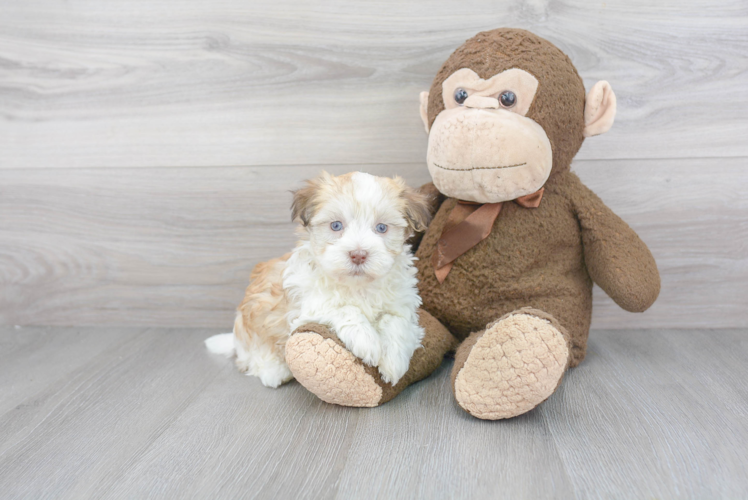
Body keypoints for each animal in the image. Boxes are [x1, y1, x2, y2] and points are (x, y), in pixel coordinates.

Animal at [205, 173, 430, 390]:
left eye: (382, 228)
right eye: (336, 225)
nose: (358, 254)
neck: (357, 286)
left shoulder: (402, 303)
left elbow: (397, 322)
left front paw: (394, 361)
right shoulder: (308, 305)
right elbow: (343, 308)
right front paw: (367, 341)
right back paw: (274, 371)